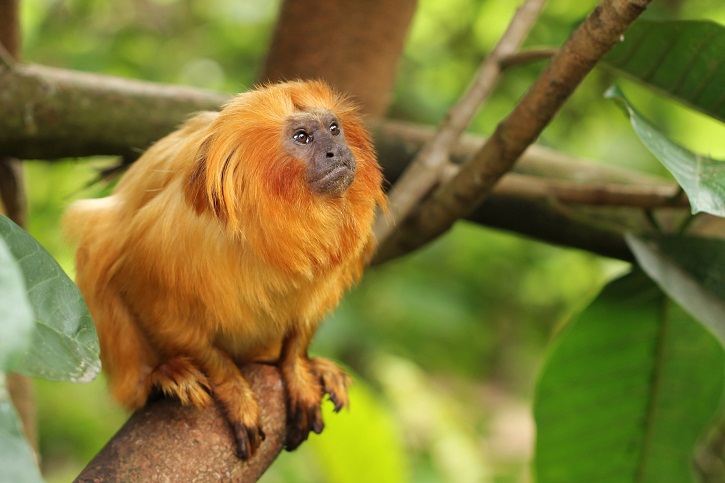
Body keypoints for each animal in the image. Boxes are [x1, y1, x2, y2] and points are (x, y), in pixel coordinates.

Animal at [65, 80, 388, 462]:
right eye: (303, 137)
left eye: (334, 129)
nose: (336, 152)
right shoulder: (174, 235)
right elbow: (152, 299)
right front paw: (233, 391)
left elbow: (304, 321)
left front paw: (298, 369)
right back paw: (158, 377)